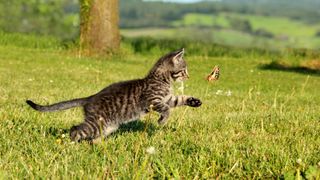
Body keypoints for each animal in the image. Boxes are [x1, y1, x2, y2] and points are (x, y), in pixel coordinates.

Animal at [27, 48, 202, 142]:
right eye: (184, 70)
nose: (188, 76)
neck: (162, 80)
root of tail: (90, 97)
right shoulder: (153, 100)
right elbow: (167, 109)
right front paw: (162, 120)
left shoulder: (168, 98)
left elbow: (179, 100)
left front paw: (194, 101)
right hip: (96, 123)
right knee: (76, 129)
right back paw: (72, 145)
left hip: (106, 126)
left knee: (93, 137)